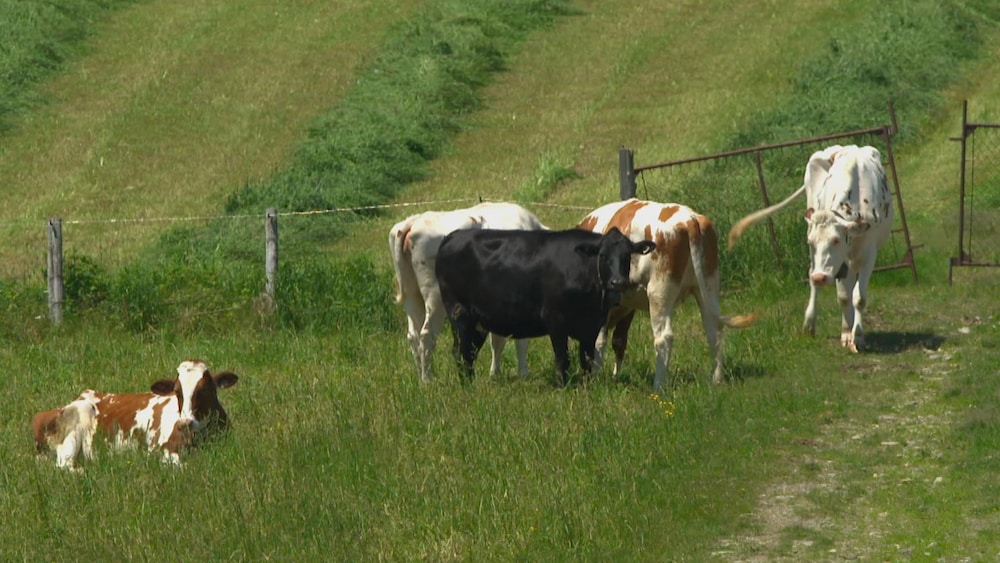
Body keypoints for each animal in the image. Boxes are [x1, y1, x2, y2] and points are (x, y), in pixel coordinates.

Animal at [33, 360, 239, 469]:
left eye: (204, 390)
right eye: (177, 391)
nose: (184, 423)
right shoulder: (164, 451)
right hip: (77, 420)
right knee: (65, 465)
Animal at [389, 202, 547, 383]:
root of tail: (414, 222)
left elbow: (497, 341)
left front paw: (495, 374)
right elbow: (520, 340)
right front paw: (523, 374)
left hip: (411, 294)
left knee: (413, 335)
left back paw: (421, 379)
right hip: (435, 297)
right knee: (426, 335)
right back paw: (429, 380)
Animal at [435, 227, 655, 385]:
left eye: (628, 256)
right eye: (602, 255)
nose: (618, 282)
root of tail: (453, 236)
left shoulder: (592, 325)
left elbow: (587, 360)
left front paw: (587, 387)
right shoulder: (554, 318)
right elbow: (563, 359)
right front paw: (562, 386)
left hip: (479, 320)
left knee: (470, 352)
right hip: (459, 312)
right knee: (461, 351)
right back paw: (467, 386)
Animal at [578, 199, 757, 392]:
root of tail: (690, 219)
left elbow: (599, 339)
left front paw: (597, 378)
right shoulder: (625, 305)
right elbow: (618, 340)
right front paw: (613, 376)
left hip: (659, 292)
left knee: (664, 337)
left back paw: (658, 386)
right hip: (708, 286)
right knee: (713, 330)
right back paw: (716, 380)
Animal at [727, 145, 893, 352]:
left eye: (836, 240)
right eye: (810, 242)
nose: (820, 277)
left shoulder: (868, 252)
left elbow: (859, 297)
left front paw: (858, 336)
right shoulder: (840, 261)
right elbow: (844, 296)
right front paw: (847, 333)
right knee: (816, 280)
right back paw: (809, 324)